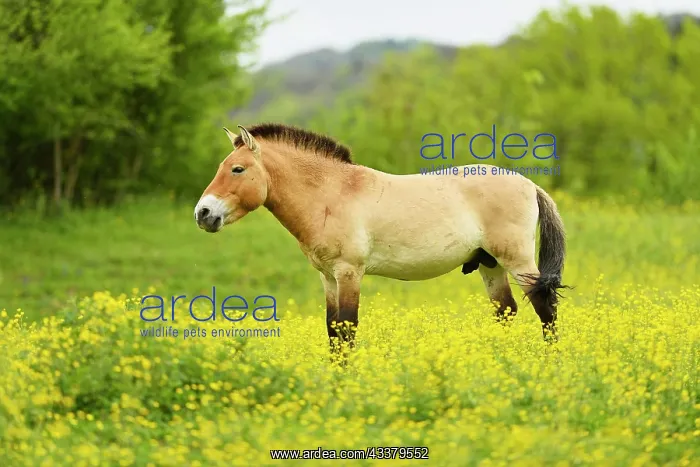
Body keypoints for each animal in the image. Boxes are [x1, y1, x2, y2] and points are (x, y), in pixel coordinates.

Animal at [194, 123, 568, 351]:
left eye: (237, 169)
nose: (203, 213)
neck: (332, 194)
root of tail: (529, 184)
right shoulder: (327, 277)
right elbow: (332, 329)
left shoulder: (349, 272)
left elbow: (347, 328)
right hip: (490, 265)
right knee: (506, 311)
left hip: (518, 261)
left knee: (544, 308)